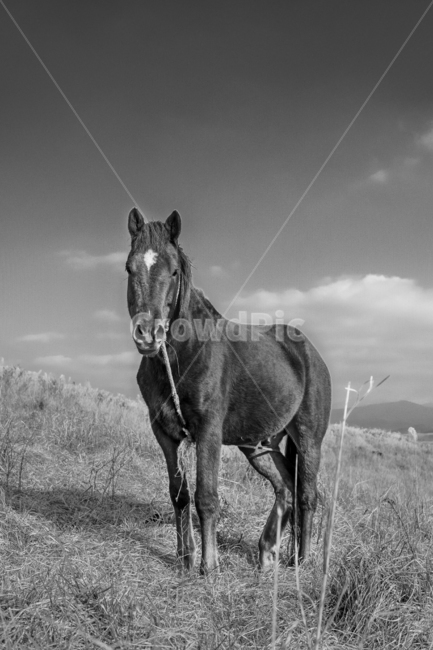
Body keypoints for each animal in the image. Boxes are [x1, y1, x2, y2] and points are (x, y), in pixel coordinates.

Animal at [126, 207, 332, 574]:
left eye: (174, 271)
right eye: (129, 267)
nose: (147, 334)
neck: (185, 354)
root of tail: (309, 354)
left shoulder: (208, 431)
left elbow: (206, 497)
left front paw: (209, 566)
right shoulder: (164, 433)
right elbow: (179, 493)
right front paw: (185, 557)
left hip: (308, 440)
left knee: (307, 496)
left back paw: (301, 561)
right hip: (260, 445)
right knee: (284, 487)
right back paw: (267, 553)